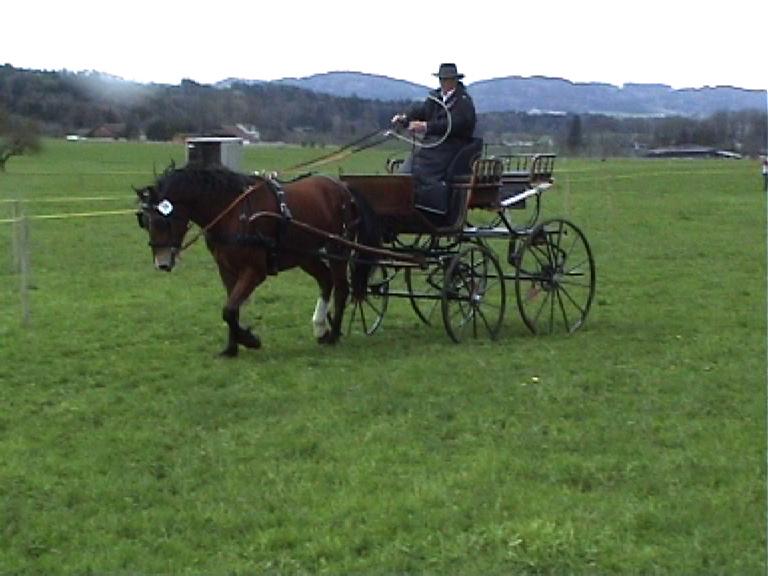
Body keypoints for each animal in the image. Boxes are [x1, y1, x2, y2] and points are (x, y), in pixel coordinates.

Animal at [137, 163, 380, 356]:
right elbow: (232, 308)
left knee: (341, 288)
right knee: (326, 280)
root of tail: (343, 187)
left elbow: (229, 310)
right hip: (306, 255)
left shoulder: (254, 271)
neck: (233, 212)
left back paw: (334, 334)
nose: (162, 263)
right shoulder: (226, 270)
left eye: (164, 221)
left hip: (338, 248)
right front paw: (231, 348)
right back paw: (321, 328)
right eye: (145, 222)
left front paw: (249, 340)